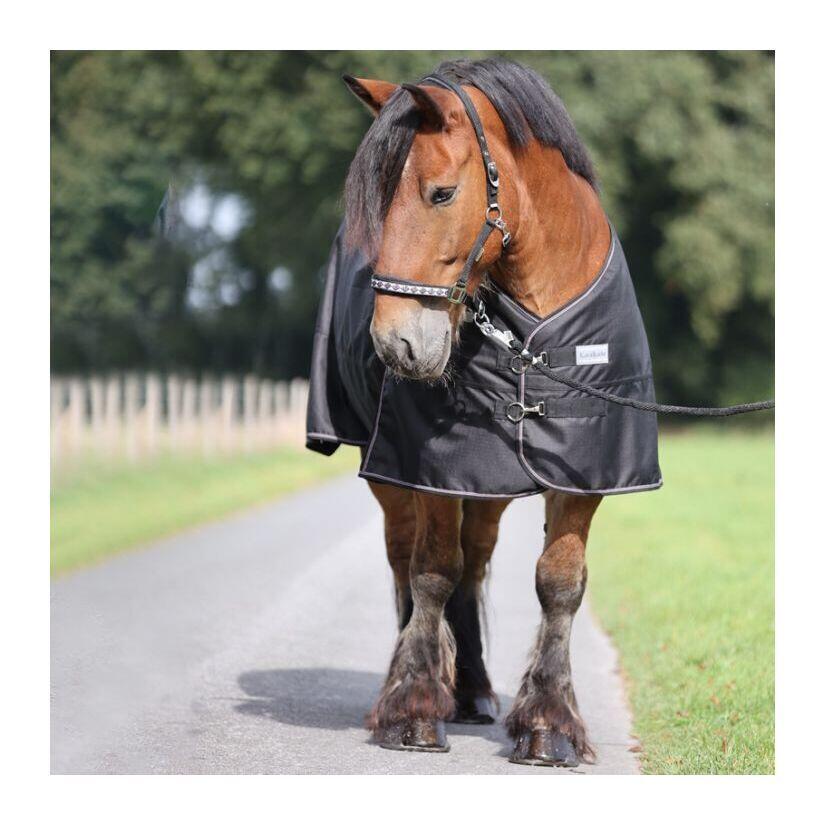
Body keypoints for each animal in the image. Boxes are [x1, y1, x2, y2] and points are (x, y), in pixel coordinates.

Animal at [307, 58, 656, 768]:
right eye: (374, 207)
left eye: (440, 194)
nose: (397, 345)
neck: (534, 334)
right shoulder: (434, 470)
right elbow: (431, 573)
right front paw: (415, 708)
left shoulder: (584, 472)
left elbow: (558, 582)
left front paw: (549, 725)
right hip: (393, 477)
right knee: (406, 561)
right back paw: (411, 689)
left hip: (488, 489)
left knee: (474, 560)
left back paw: (470, 692)